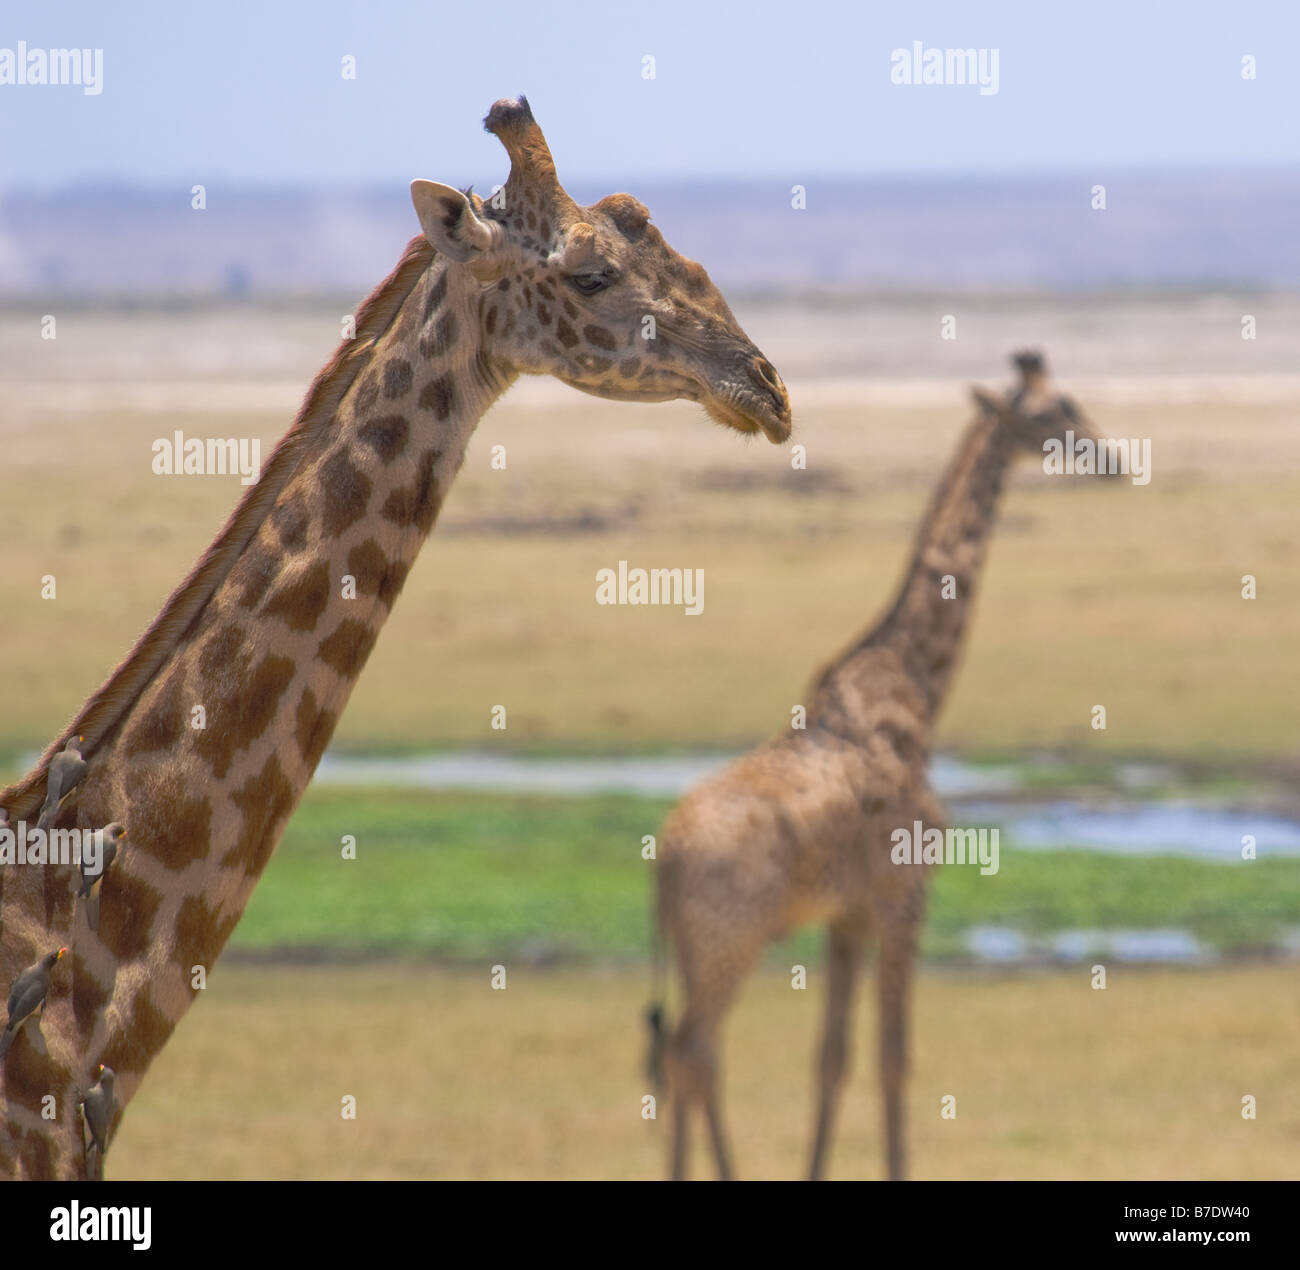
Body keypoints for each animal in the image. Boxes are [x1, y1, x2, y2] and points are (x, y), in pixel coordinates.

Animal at [650, 352, 1108, 1181]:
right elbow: (895, 1059)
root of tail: (661, 861)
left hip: (700, 946)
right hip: (732, 937)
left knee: (686, 1052)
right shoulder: (906, 893)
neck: (918, 688)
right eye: (1056, 410)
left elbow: (831, 1058)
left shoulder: (848, 914)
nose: (1108, 457)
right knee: (694, 1049)